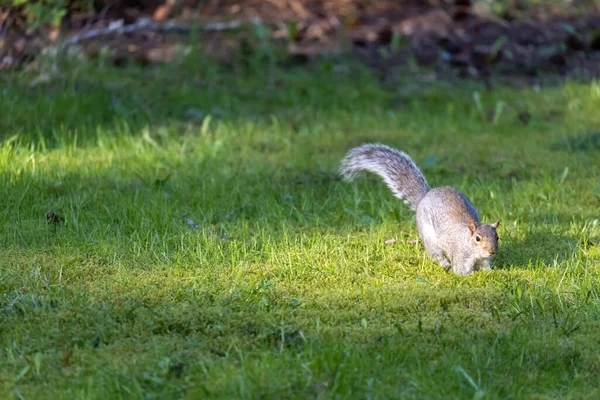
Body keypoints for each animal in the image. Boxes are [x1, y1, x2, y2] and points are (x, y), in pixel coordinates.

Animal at [340, 144, 500, 276]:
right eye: (477, 238)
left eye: (497, 237)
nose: (492, 251)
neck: (470, 245)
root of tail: (425, 196)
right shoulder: (461, 255)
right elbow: (461, 272)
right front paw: (472, 276)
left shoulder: (484, 261)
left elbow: (486, 269)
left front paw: (493, 273)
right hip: (428, 234)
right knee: (435, 254)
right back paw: (444, 263)